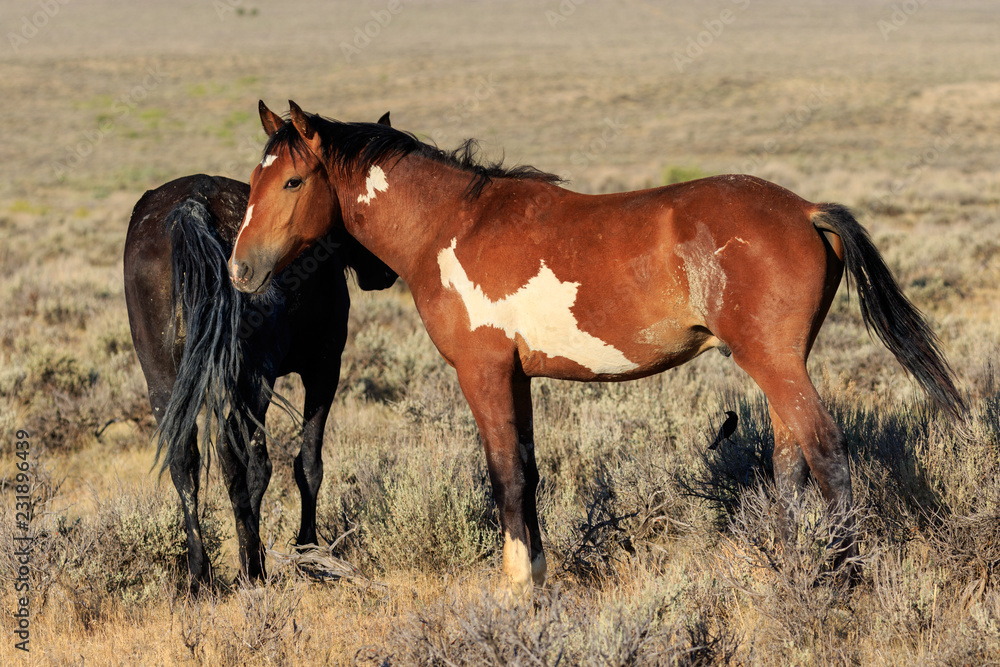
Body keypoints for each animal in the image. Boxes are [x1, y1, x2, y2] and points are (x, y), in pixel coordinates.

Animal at [124, 140, 397, 588]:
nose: (386, 271)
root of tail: (191, 206)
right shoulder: (323, 368)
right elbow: (305, 464)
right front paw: (307, 549)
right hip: (248, 381)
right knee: (235, 458)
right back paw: (252, 566)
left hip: (163, 380)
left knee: (185, 462)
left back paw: (200, 575)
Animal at [228, 100, 964, 595]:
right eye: (253, 183)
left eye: (292, 182)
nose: (239, 269)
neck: (450, 226)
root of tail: (807, 210)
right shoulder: (517, 377)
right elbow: (528, 472)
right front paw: (537, 576)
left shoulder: (483, 372)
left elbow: (505, 474)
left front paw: (515, 589)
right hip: (777, 366)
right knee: (790, 460)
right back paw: (788, 569)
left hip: (775, 363)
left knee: (826, 450)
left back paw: (845, 578)